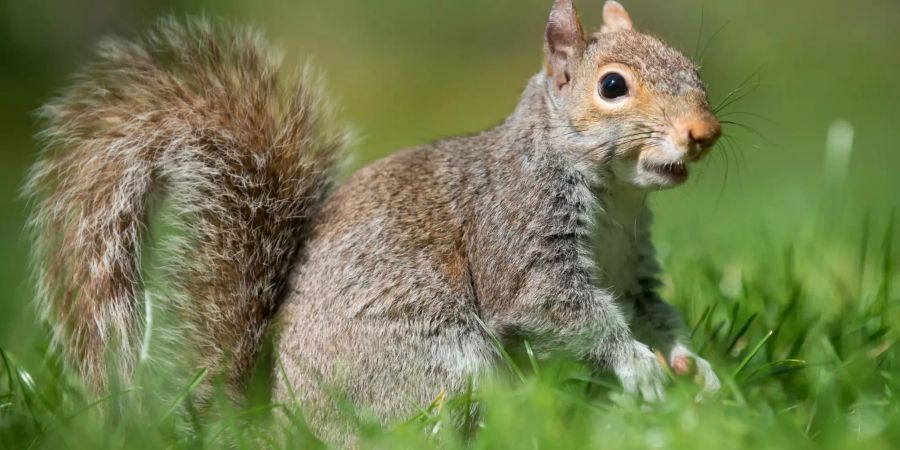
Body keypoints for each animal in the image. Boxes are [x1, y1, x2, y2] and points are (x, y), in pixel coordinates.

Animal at [24, 0, 720, 438]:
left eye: (694, 68)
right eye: (612, 87)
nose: (704, 133)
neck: (614, 199)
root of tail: (275, 426)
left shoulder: (631, 266)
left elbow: (650, 311)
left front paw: (693, 366)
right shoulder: (518, 233)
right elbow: (560, 308)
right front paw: (635, 365)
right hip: (440, 363)